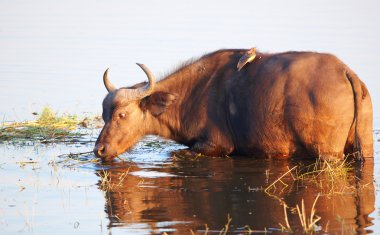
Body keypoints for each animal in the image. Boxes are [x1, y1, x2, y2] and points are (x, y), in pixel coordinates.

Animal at [93, 48, 372, 161]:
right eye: (104, 115)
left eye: (121, 115)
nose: (99, 150)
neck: (193, 93)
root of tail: (345, 71)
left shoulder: (215, 146)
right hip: (364, 146)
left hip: (327, 154)